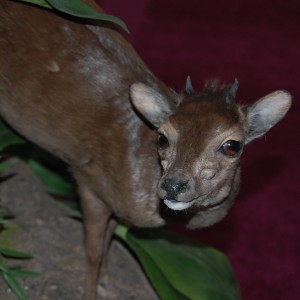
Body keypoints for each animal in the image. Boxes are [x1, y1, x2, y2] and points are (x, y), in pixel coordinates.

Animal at [0, 0, 290, 300]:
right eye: (162, 137)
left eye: (233, 145)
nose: (172, 185)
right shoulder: (88, 180)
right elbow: (92, 251)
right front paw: (91, 291)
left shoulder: (114, 200)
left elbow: (109, 238)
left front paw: (107, 281)